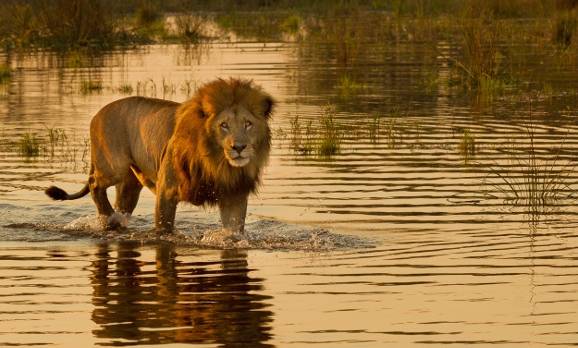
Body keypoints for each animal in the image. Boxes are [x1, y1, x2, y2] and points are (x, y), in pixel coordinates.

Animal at [44, 78, 274, 234]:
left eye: (248, 124)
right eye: (224, 125)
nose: (239, 147)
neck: (216, 162)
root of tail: (98, 113)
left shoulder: (234, 195)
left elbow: (233, 232)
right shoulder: (167, 189)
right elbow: (164, 228)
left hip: (129, 185)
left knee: (120, 204)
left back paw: (115, 219)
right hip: (114, 166)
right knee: (94, 183)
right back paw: (108, 216)